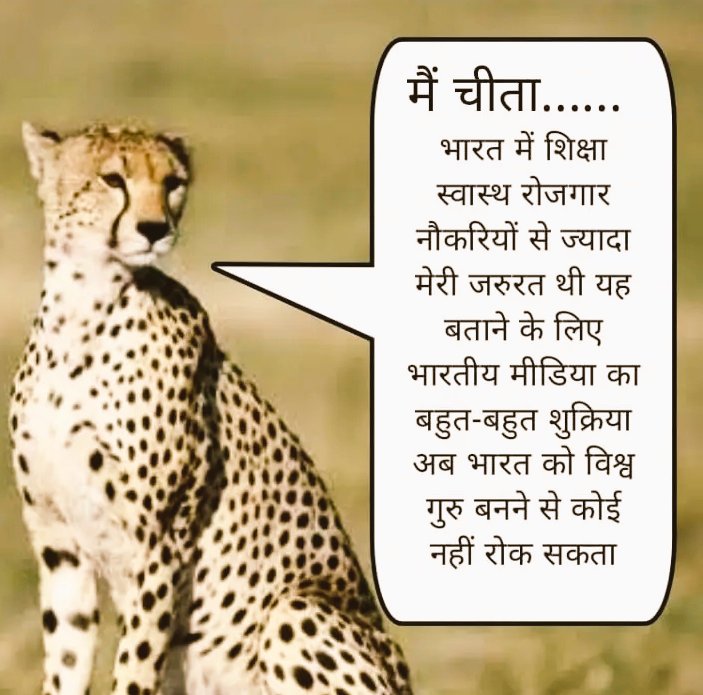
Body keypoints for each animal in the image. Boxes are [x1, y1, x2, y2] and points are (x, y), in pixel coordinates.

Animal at [9, 121, 413, 695]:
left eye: (173, 182)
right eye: (112, 179)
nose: (154, 229)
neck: (81, 315)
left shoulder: (159, 542)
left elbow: (135, 665)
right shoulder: (59, 543)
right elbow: (66, 662)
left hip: (295, 611)